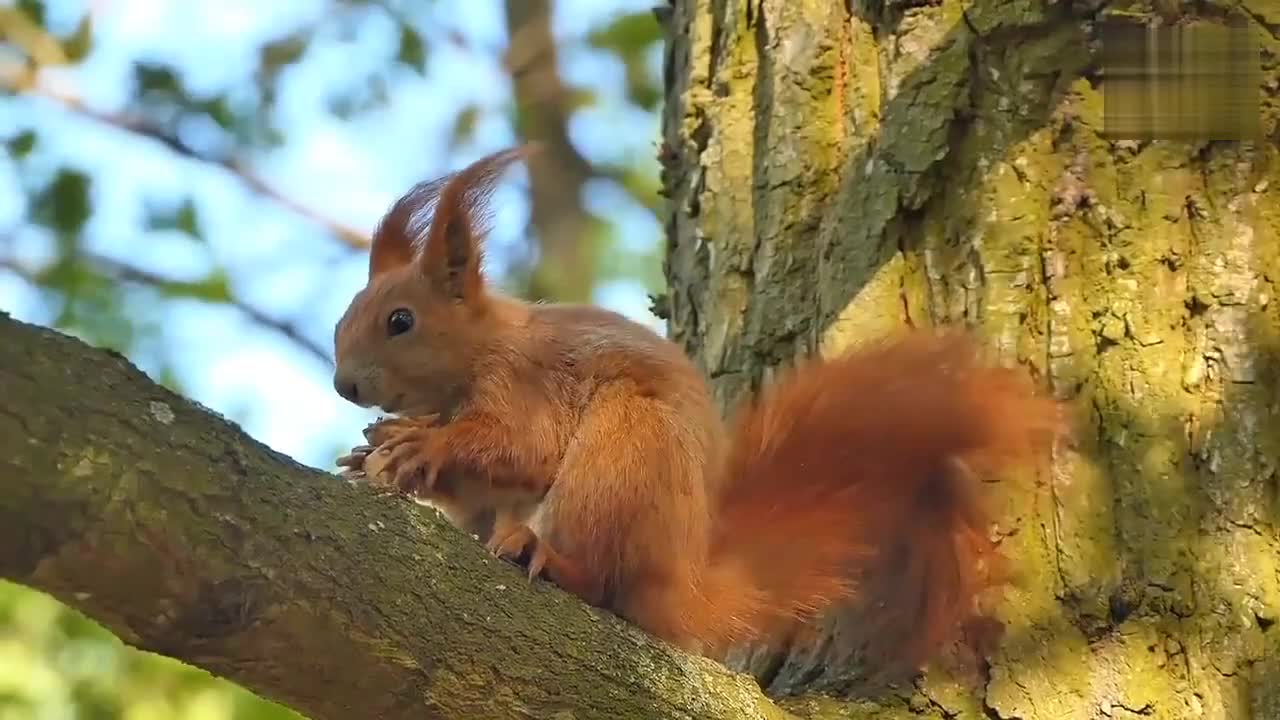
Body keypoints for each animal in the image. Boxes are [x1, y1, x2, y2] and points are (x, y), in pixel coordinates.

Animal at [327, 144, 1059, 671]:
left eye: (400, 321)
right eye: (344, 318)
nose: (343, 385)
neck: (481, 350)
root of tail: (685, 586)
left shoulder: (527, 381)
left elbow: (524, 447)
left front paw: (422, 443)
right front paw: (375, 452)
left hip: (624, 453)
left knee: (601, 580)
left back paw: (546, 555)